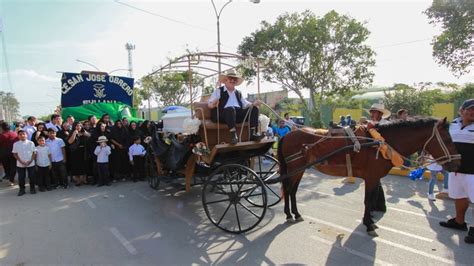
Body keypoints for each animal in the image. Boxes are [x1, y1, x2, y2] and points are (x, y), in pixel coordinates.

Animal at [278, 117, 460, 236]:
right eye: (447, 138)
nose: (457, 163)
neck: (379, 143)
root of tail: (288, 134)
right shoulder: (371, 177)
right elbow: (367, 201)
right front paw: (369, 225)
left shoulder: (375, 178)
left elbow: (371, 200)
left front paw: (370, 221)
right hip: (294, 168)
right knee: (287, 189)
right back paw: (288, 214)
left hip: (299, 169)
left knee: (292, 191)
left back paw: (296, 214)